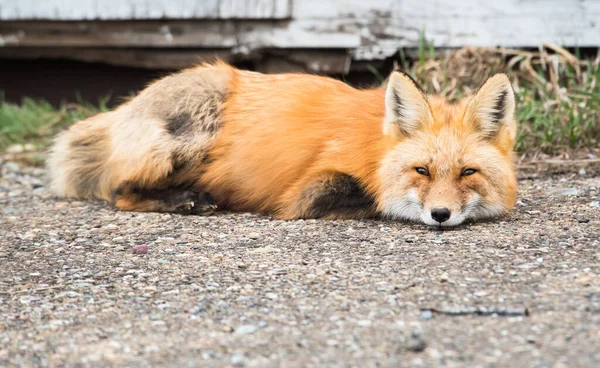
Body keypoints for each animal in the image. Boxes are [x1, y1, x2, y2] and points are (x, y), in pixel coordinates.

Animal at [48, 61, 516, 226]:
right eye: (421, 171)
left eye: (468, 172)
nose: (441, 215)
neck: (375, 150)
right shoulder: (310, 190)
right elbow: (373, 196)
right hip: (193, 134)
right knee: (119, 192)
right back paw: (186, 199)